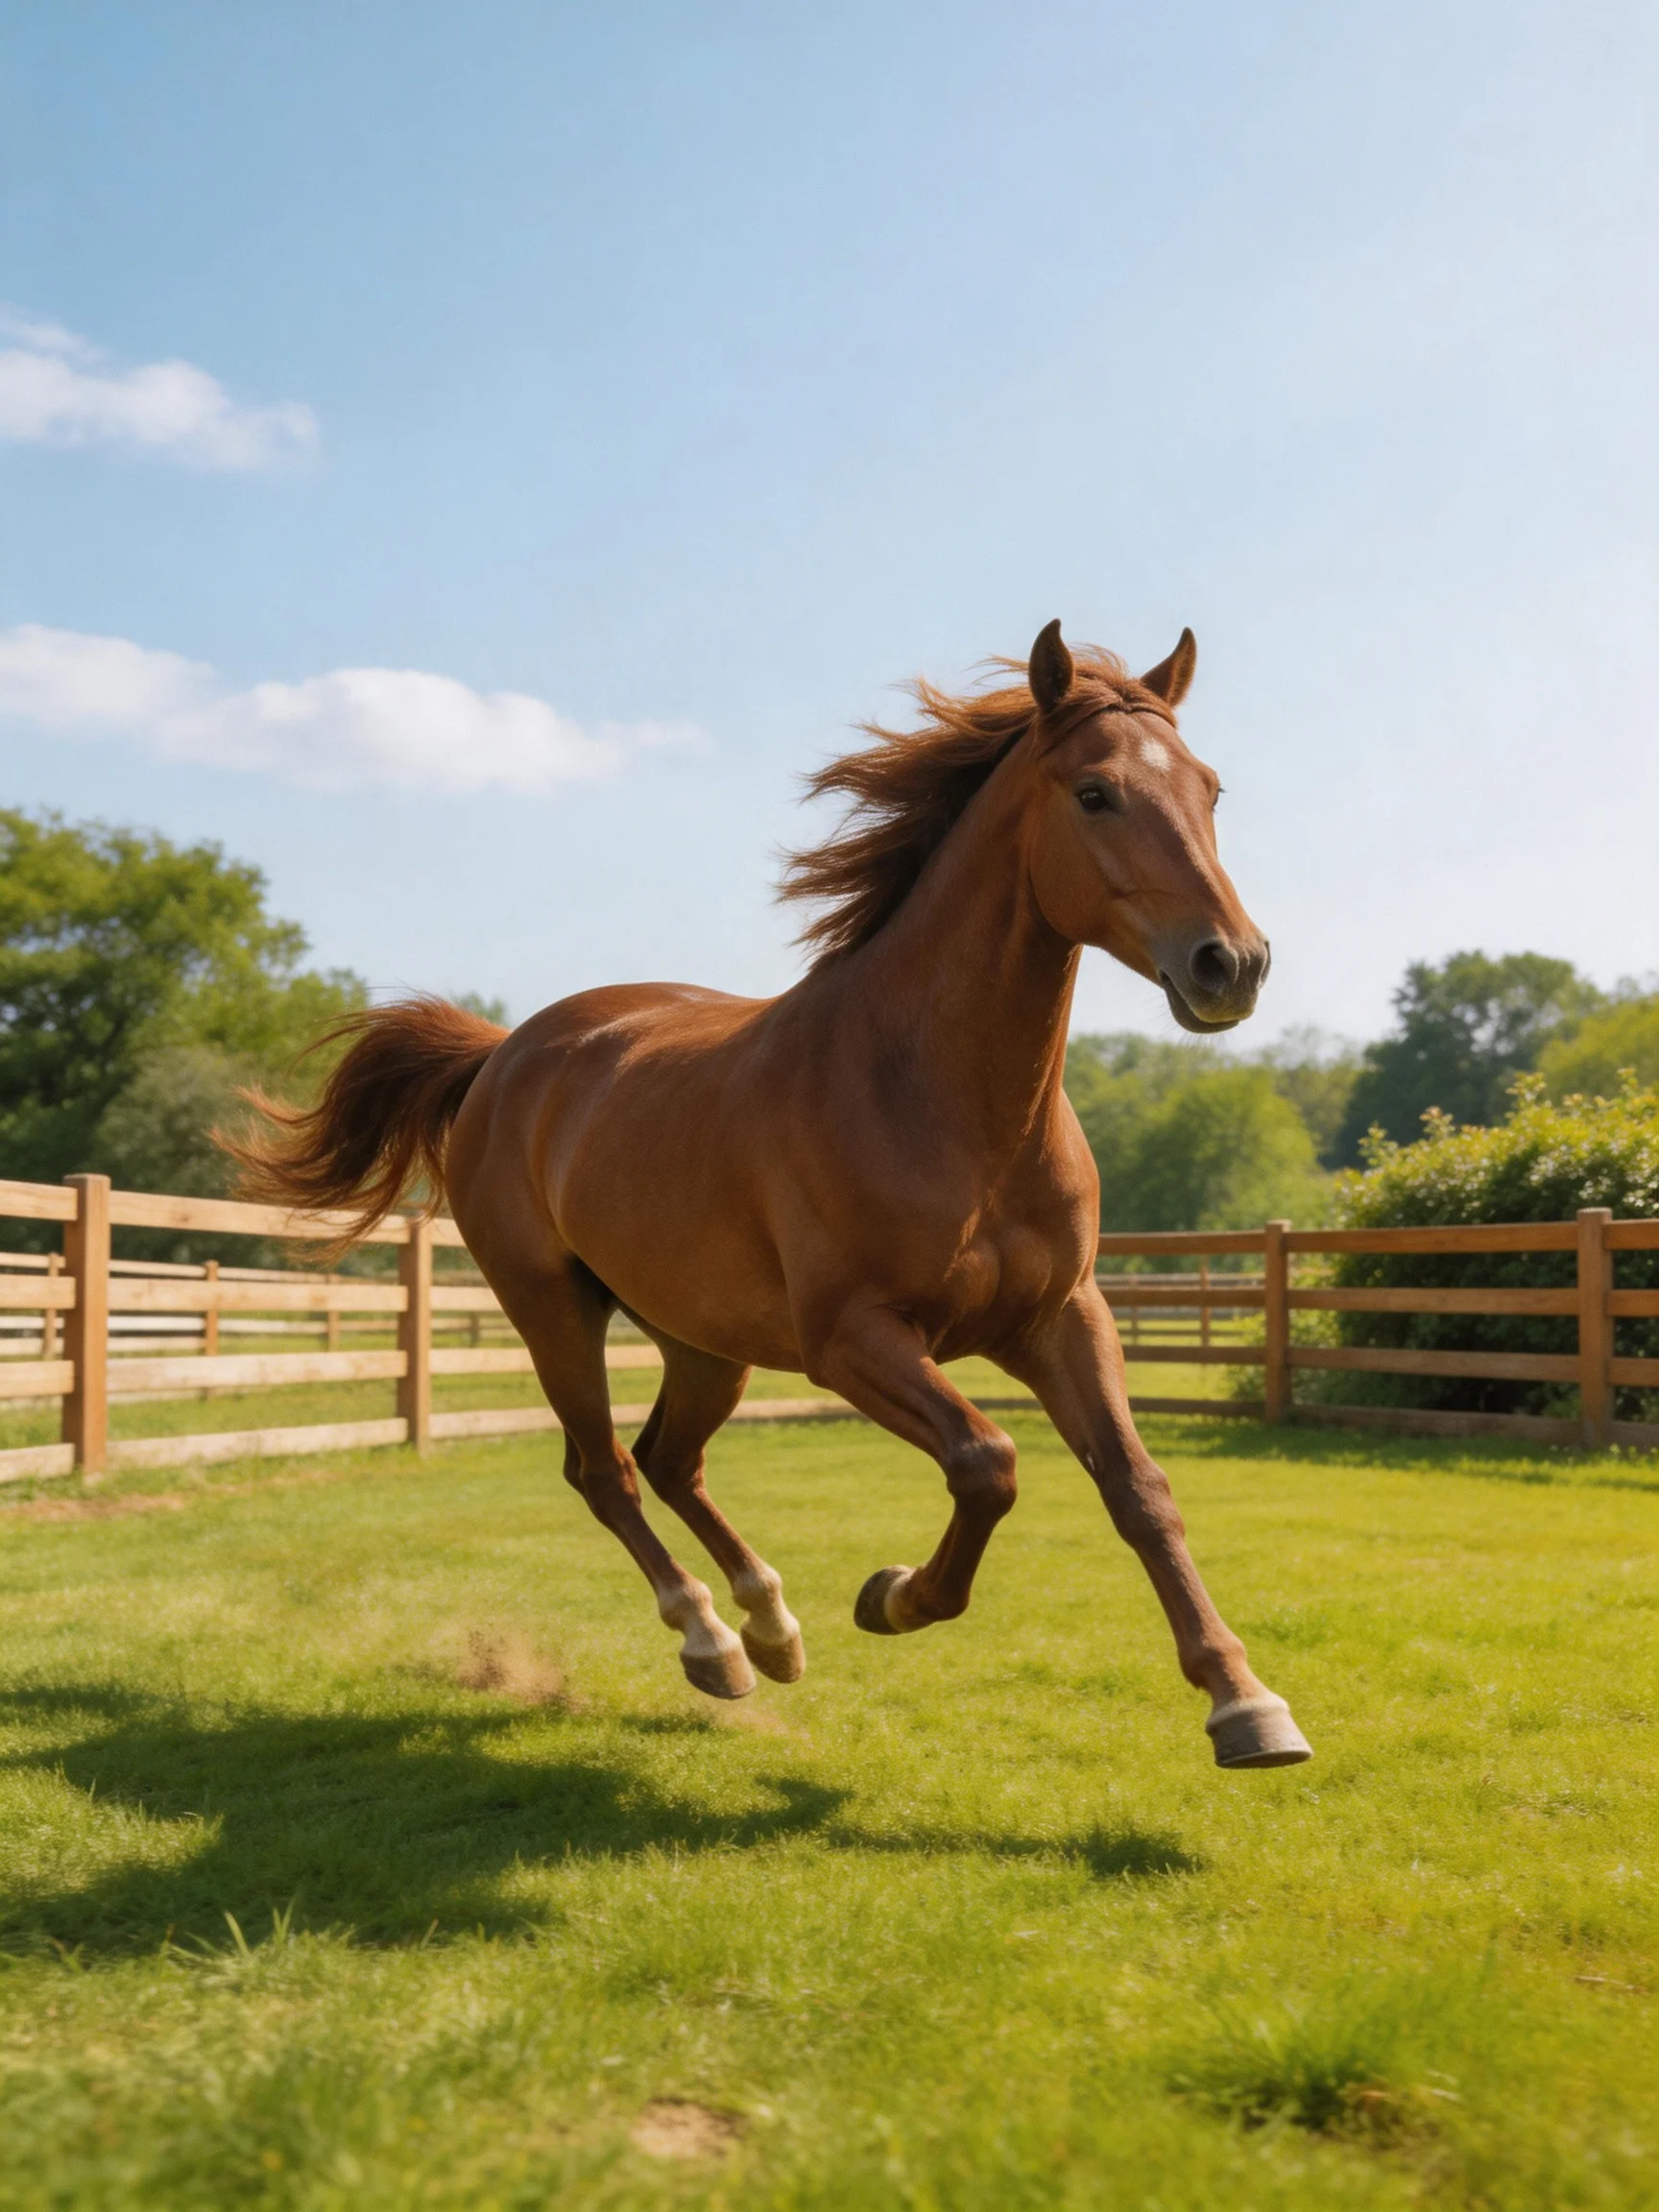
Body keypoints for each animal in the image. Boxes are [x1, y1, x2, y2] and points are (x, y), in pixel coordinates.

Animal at [235, 620, 1312, 1769]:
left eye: (1210, 787)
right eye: (1096, 792)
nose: (1232, 965)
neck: (941, 1099)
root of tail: (503, 1054)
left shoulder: (1062, 1317)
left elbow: (1140, 1490)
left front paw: (1245, 1703)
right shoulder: (854, 1341)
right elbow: (987, 1461)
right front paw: (893, 1596)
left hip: (705, 1339)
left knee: (670, 1459)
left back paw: (771, 1624)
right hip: (553, 1311)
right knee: (606, 1470)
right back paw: (714, 1644)